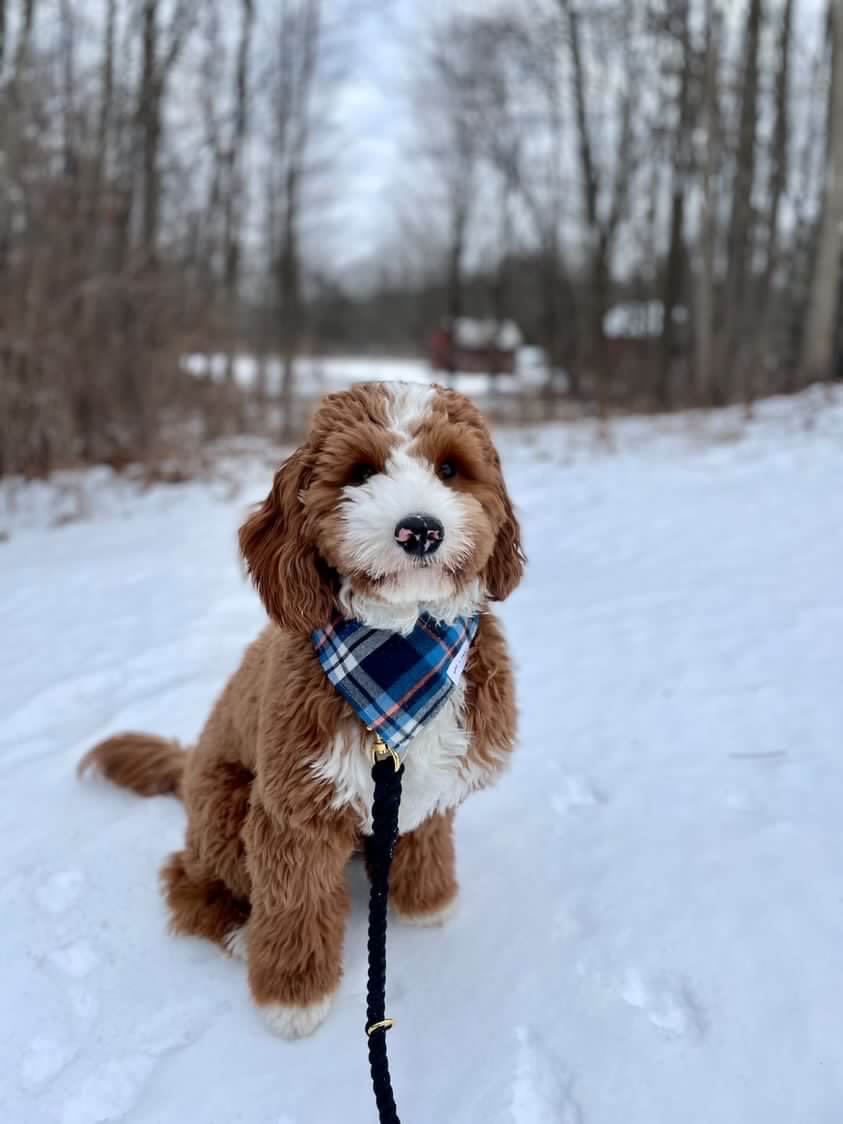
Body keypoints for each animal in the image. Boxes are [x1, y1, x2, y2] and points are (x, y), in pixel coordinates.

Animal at [80, 382, 528, 1038]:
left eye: (450, 469)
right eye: (361, 472)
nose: (420, 530)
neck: (400, 655)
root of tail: (187, 772)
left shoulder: (432, 786)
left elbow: (426, 839)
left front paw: (426, 902)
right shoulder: (294, 809)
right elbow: (296, 902)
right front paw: (293, 996)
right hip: (226, 810)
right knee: (187, 883)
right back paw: (242, 935)